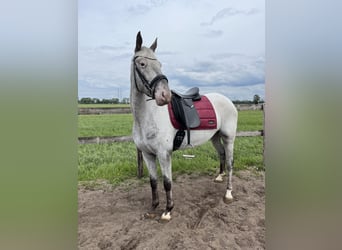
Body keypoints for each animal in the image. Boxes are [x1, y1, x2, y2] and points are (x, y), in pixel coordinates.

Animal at [130, 31, 238, 221]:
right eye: (142, 64)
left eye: (160, 64)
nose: (164, 96)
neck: (147, 118)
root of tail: (228, 101)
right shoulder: (148, 154)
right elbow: (153, 182)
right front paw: (153, 207)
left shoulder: (164, 154)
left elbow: (167, 182)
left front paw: (167, 211)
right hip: (215, 137)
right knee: (222, 155)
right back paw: (219, 177)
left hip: (228, 138)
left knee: (231, 163)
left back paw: (228, 193)